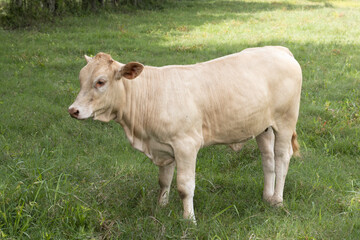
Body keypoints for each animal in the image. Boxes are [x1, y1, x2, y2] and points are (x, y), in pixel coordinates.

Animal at [67, 46, 300, 222]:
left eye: (100, 81)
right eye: (80, 79)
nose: (73, 110)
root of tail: (279, 49)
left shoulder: (186, 145)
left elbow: (185, 186)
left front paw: (189, 219)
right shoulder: (163, 146)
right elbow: (164, 180)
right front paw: (161, 207)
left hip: (285, 121)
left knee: (281, 158)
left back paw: (278, 201)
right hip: (263, 127)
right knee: (268, 160)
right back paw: (267, 196)